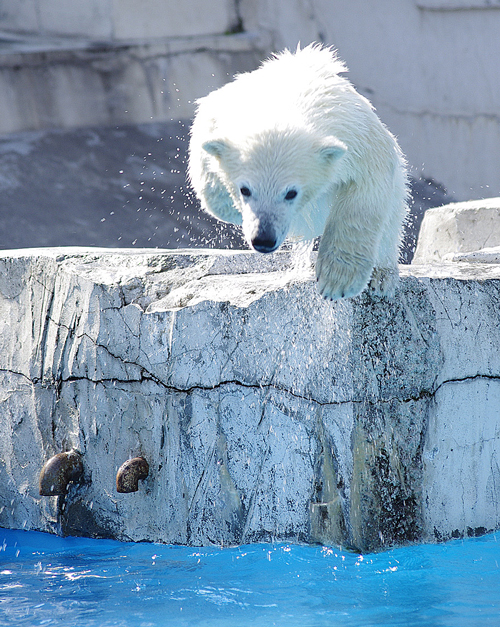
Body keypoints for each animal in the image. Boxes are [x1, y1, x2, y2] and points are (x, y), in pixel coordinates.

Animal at [189, 43, 408, 300]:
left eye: (291, 193)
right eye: (245, 190)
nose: (263, 239)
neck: (287, 98)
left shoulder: (356, 138)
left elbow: (365, 195)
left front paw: (337, 281)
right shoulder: (219, 113)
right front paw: (228, 203)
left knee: (391, 218)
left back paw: (383, 276)